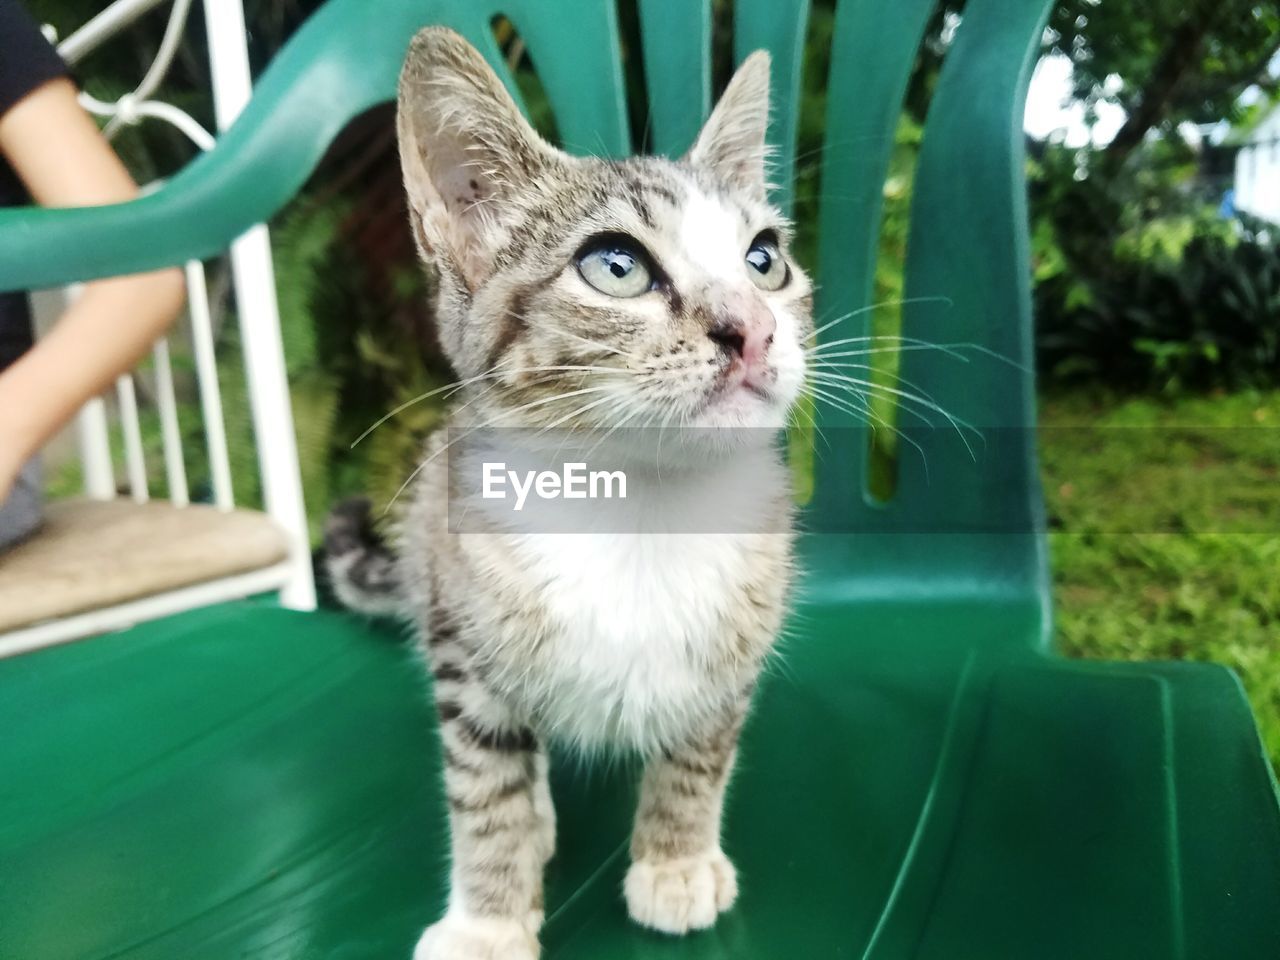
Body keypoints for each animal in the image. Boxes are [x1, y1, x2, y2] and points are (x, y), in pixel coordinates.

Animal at [325, 28, 814, 960]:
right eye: (615, 267)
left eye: (765, 260)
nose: (754, 329)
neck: (639, 505)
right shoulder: (465, 650)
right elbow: (486, 790)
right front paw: (487, 919)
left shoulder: (737, 645)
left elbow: (700, 754)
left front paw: (675, 860)